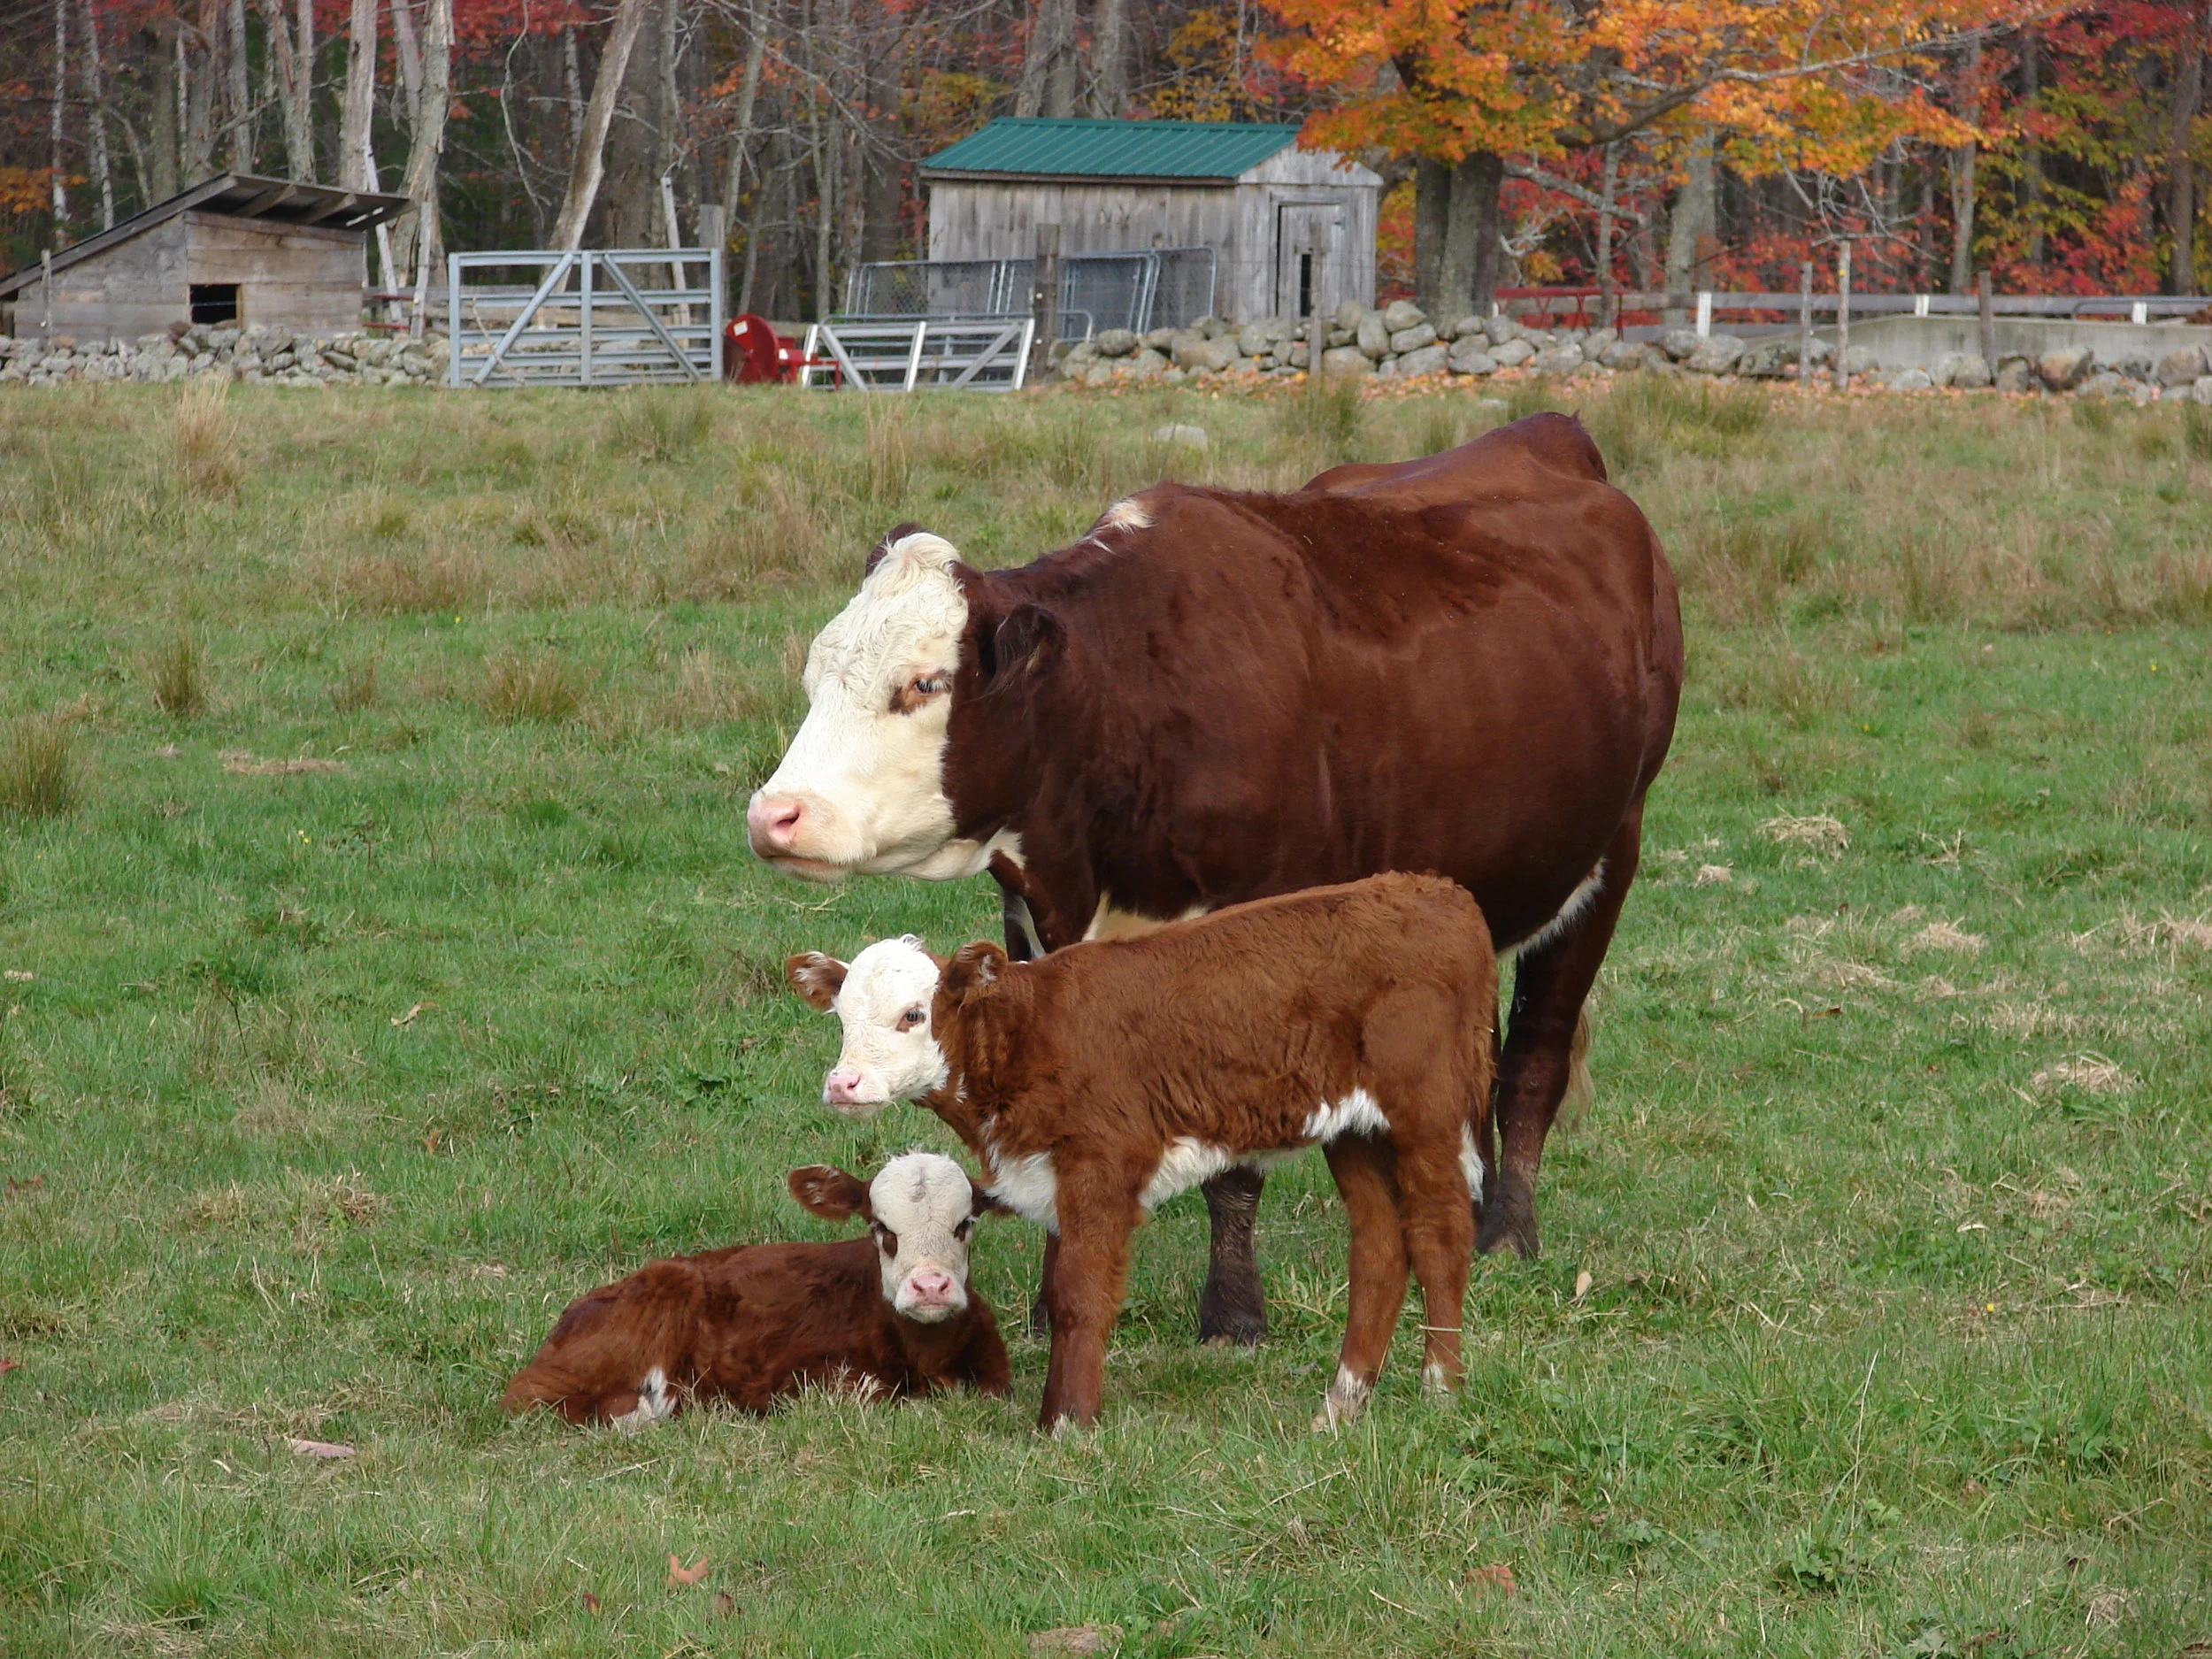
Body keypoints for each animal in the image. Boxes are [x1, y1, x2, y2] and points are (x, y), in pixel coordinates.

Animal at [501, 1152, 1010, 1426]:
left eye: (966, 1223)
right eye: (882, 1228)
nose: (930, 1286)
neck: (928, 1357)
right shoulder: (818, 1380)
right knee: (528, 1396)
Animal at [747, 413, 1683, 1344]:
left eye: (925, 682)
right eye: (814, 677)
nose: (774, 815)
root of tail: (1544, 431)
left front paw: (1233, 1312)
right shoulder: (1032, 925)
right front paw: (1055, 1304)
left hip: (1612, 850)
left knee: (1533, 1056)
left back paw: (1507, 1233)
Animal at [787, 873, 1497, 1430]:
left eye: (913, 1014)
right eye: (842, 1018)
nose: (843, 1083)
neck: (1030, 1034)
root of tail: (1436, 891)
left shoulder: (1100, 1168)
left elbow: (1080, 1294)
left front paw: (1067, 1422)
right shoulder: (1054, 1175)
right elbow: (1063, 1292)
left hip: (1425, 1112)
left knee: (1439, 1232)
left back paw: (1441, 1387)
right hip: (1355, 1129)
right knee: (1379, 1248)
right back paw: (1342, 1403)